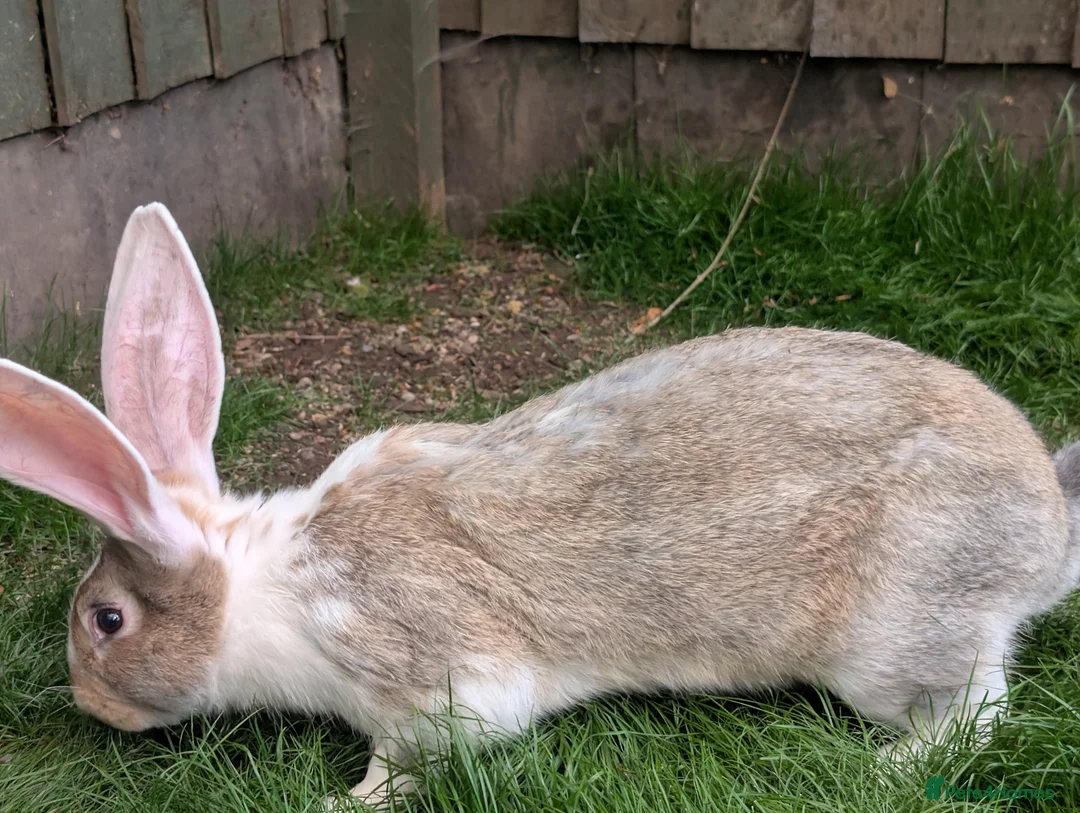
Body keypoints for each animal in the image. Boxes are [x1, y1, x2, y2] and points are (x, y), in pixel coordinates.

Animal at [1, 202, 1079, 809]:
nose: (91, 705)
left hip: (896, 634)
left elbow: (414, 757)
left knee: (975, 708)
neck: (258, 586)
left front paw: (350, 801)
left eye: (107, 621)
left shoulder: (429, 675)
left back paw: (889, 770)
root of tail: (1050, 530)